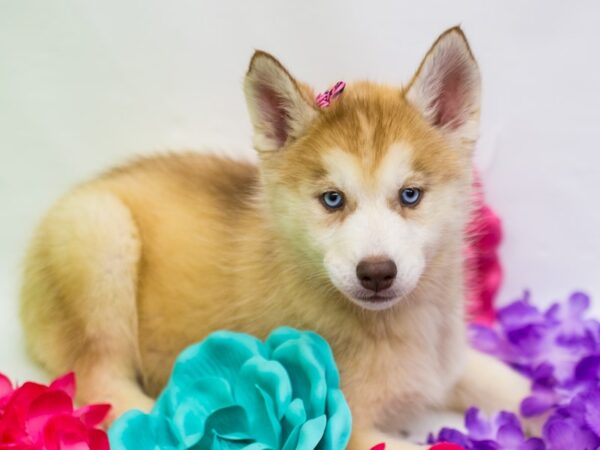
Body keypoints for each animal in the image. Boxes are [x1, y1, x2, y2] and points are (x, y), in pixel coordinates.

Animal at [21, 27, 528, 446]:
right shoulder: (347, 425)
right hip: (100, 231)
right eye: (332, 200)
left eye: (410, 195)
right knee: (100, 380)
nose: (377, 273)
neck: (402, 326)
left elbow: (516, 387)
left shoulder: (451, 365)